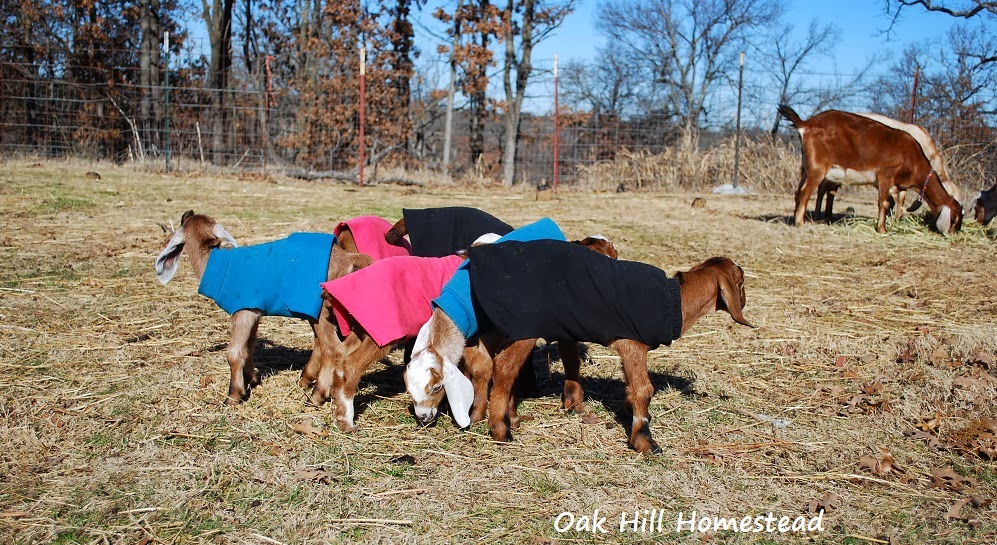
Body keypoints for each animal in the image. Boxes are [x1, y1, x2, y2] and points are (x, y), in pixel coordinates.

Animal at [407, 241, 752, 454]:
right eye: (741, 280)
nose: (746, 301)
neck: (674, 302)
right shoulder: (632, 344)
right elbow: (644, 389)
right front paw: (645, 442)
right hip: (525, 325)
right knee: (503, 368)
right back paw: (502, 431)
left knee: (485, 364)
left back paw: (493, 417)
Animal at [778, 104, 962, 234]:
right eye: (955, 218)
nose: (954, 234)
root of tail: (806, 123)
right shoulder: (886, 175)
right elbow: (885, 202)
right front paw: (882, 229)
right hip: (817, 169)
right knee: (805, 193)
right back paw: (801, 223)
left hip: (807, 168)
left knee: (800, 192)